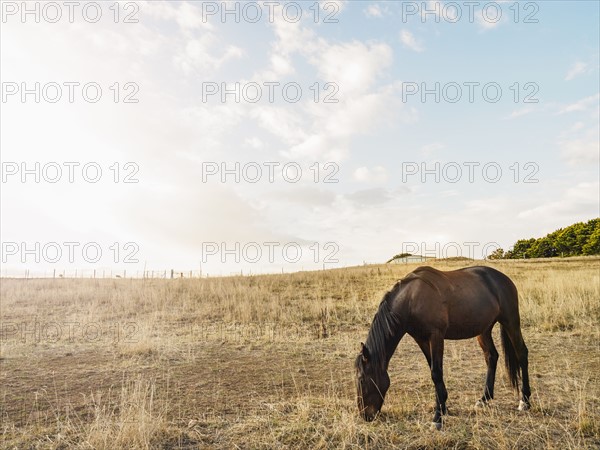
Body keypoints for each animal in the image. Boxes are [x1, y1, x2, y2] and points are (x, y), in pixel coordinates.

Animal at [354, 268, 532, 428]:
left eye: (362, 379)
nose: (365, 416)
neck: (411, 300)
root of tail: (504, 279)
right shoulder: (421, 339)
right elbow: (433, 370)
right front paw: (442, 407)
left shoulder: (436, 336)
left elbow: (436, 373)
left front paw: (438, 417)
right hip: (484, 329)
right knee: (491, 356)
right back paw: (484, 398)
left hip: (511, 322)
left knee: (522, 353)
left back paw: (525, 401)